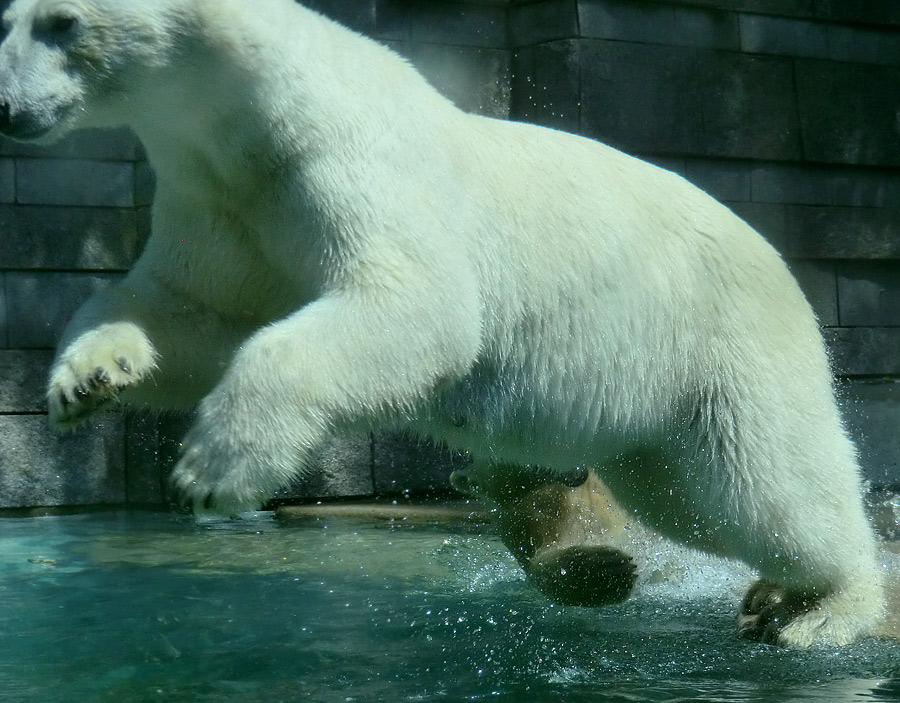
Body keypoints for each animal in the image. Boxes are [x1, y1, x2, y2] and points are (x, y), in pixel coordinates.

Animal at [0, 0, 884, 648]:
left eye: (63, 20)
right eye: (11, 16)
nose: (6, 108)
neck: (254, 114)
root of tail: (784, 268)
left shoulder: (343, 164)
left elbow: (417, 304)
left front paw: (211, 468)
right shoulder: (221, 201)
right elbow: (190, 310)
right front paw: (87, 376)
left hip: (724, 343)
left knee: (767, 485)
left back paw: (826, 608)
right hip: (656, 414)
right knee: (687, 497)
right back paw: (772, 593)